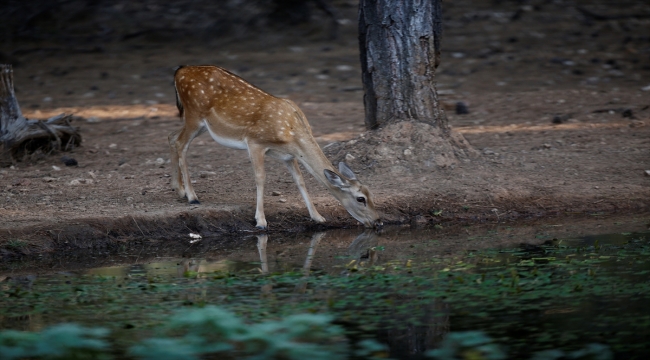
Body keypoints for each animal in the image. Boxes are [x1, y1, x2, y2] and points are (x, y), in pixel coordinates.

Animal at [168, 66, 380, 229]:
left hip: (202, 125)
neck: (290, 132)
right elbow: (260, 178)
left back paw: (179, 190)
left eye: (371, 193)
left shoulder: (289, 155)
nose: (378, 221)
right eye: (361, 198)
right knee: (181, 144)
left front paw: (318, 217)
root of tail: (179, 71)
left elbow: (300, 180)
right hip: (194, 115)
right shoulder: (255, 142)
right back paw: (192, 196)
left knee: (172, 137)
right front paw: (261, 221)